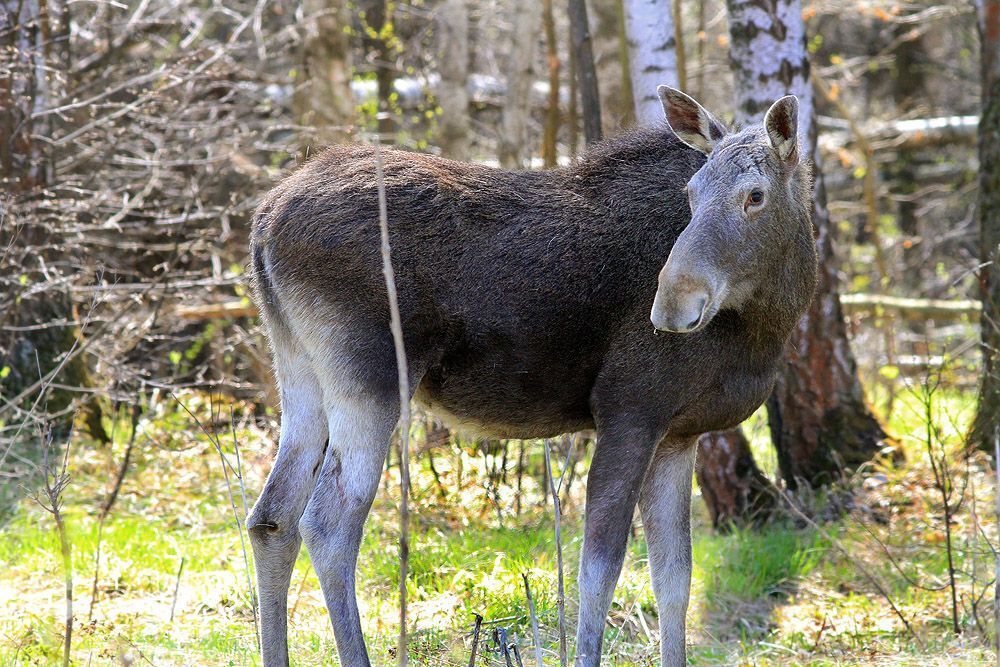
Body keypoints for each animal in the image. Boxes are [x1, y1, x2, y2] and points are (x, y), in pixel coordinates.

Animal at [245, 86, 818, 666]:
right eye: (692, 193)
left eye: (755, 196)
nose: (672, 305)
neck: (768, 322)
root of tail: (263, 225)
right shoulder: (629, 412)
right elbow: (599, 571)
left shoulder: (679, 433)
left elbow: (675, 581)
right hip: (371, 379)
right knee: (328, 524)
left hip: (300, 374)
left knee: (272, 517)